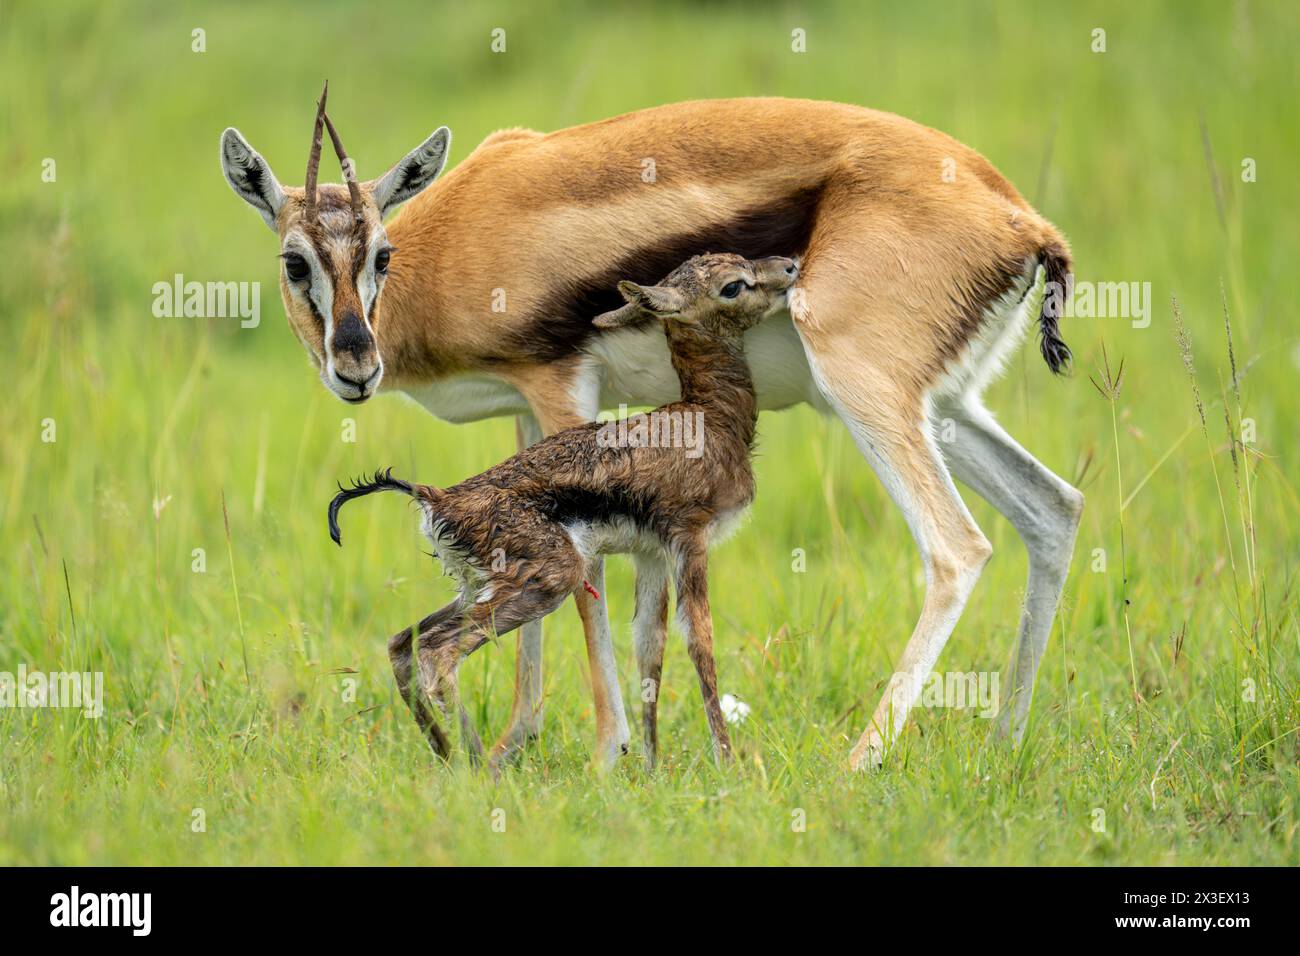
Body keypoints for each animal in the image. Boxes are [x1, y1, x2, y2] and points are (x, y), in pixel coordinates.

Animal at [328, 253, 800, 767]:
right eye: (733, 285)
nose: (790, 267)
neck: (710, 416)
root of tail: (436, 497)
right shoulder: (689, 540)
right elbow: (700, 643)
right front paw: (728, 764)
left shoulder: (651, 553)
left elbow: (649, 648)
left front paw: (653, 767)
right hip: (548, 581)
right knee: (439, 653)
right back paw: (479, 768)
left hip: (478, 588)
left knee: (402, 644)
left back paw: (452, 760)